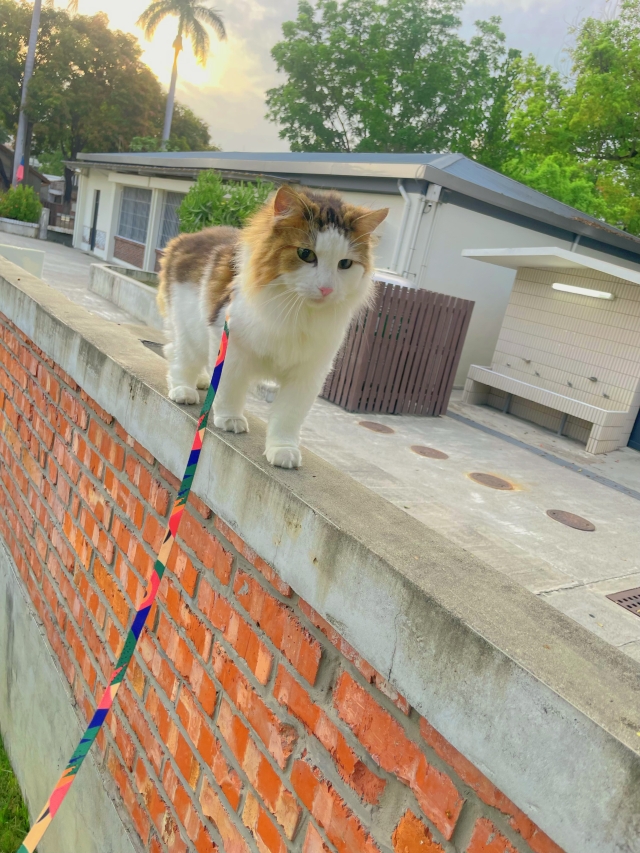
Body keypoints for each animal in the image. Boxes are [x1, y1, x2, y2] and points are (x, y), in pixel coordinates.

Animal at [159, 182, 390, 470]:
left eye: (345, 264)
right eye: (306, 254)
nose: (326, 288)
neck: (297, 311)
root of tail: (187, 238)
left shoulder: (309, 371)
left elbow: (289, 416)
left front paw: (283, 449)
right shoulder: (231, 345)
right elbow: (229, 388)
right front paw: (230, 419)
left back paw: (202, 382)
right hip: (188, 328)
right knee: (180, 358)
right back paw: (184, 389)